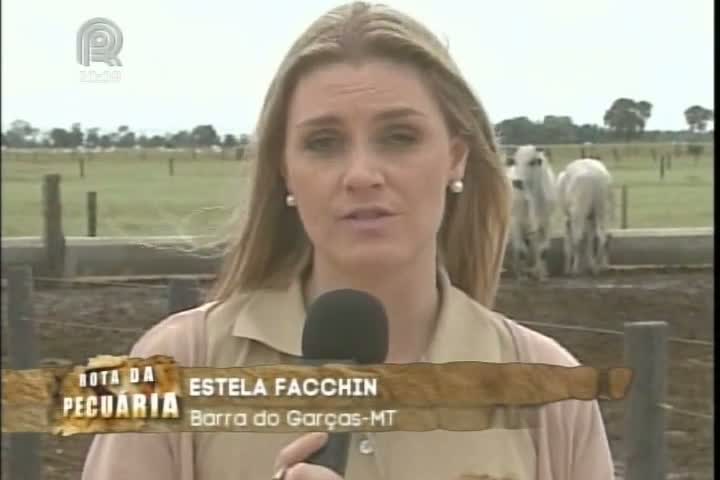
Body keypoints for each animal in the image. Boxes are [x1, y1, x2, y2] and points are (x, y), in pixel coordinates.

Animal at [506, 144, 556, 280]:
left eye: (532, 162)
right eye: (515, 161)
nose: (517, 182)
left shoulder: (546, 222)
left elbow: (543, 250)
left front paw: (541, 275)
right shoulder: (515, 221)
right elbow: (521, 250)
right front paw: (522, 277)